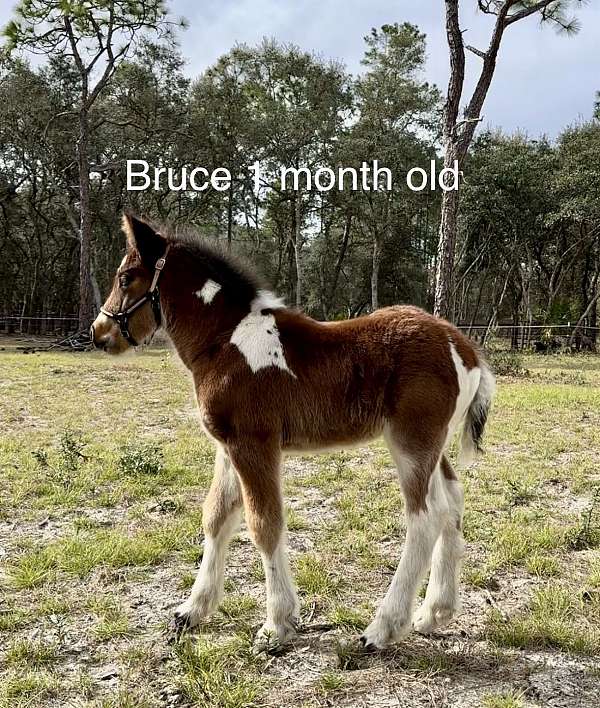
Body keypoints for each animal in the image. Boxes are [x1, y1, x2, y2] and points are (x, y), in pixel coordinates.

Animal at [91, 213, 494, 648]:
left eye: (126, 277)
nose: (99, 333)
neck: (224, 340)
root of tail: (464, 346)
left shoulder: (253, 443)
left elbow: (264, 525)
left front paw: (277, 624)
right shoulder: (227, 446)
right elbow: (216, 516)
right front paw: (192, 610)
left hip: (412, 442)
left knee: (425, 517)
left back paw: (382, 628)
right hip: (432, 445)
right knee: (452, 500)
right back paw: (434, 613)